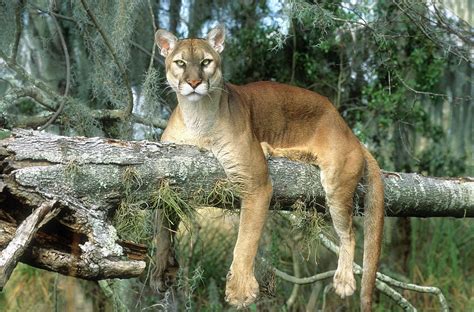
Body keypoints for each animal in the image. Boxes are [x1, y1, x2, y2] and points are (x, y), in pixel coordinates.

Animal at [154, 25, 384, 310]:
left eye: (206, 62)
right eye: (181, 63)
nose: (194, 83)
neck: (196, 116)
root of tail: (349, 130)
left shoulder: (256, 181)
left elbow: (246, 237)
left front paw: (240, 289)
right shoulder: (170, 168)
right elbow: (163, 226)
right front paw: (161, 270)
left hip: (337, 185)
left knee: (348, 233)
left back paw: (343, 281)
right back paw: (272, 148)